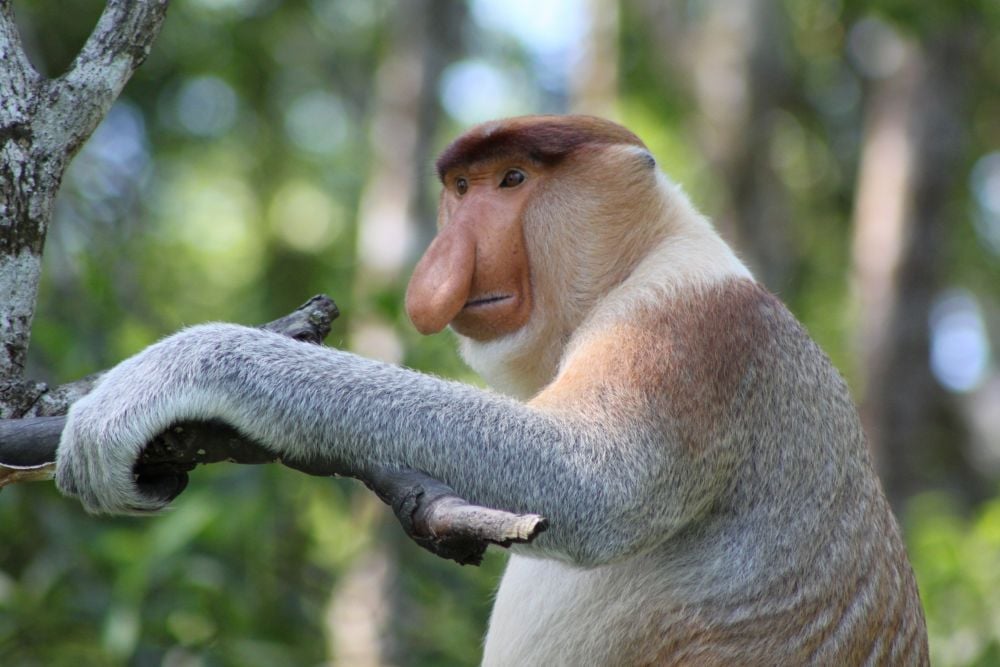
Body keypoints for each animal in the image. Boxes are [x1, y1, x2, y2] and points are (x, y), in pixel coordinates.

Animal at [56, 116, 928, 667]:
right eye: (461, 187)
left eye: (513, 180)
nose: (445, 258)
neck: (649, 251)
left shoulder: (692, 332)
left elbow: (596, 476)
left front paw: (172, 371)